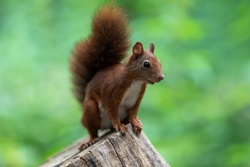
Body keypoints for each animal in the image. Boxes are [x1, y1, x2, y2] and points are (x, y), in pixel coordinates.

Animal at [70, 3, 164, 150]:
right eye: (146, 64)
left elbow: (134, 112)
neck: (135, 81)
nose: (161, 77)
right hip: (91, 109)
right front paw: (119, 126)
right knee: (93, 130)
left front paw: (135, 123)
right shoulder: (112, 93)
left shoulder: (137, 97)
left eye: (159, 61)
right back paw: (91, 140)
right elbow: (113, 112)